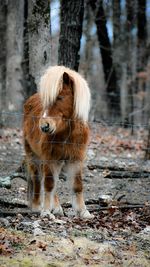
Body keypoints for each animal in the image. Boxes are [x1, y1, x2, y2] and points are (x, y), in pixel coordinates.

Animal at [22, 65, 92, 220]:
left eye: (60, 97)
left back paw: (57, 208)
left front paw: (83, 211)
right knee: (38, 179)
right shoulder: (50, 158)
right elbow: (49, 184)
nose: (44, 126)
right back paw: (38, 206)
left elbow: (77, 185)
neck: (67, 132)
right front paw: (46, 211)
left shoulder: (76, 159)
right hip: (34, 156)